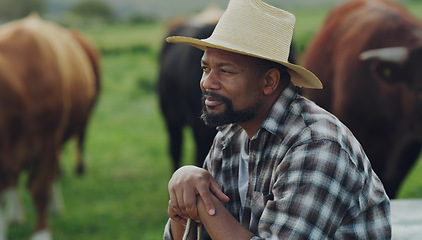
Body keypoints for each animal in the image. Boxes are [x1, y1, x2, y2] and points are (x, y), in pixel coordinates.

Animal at [0, 14, 99, 239]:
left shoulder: (47, 139)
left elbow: (40, 189)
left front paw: (41, 233)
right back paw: (16, 214)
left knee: (53, 172)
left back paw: (54, 206)